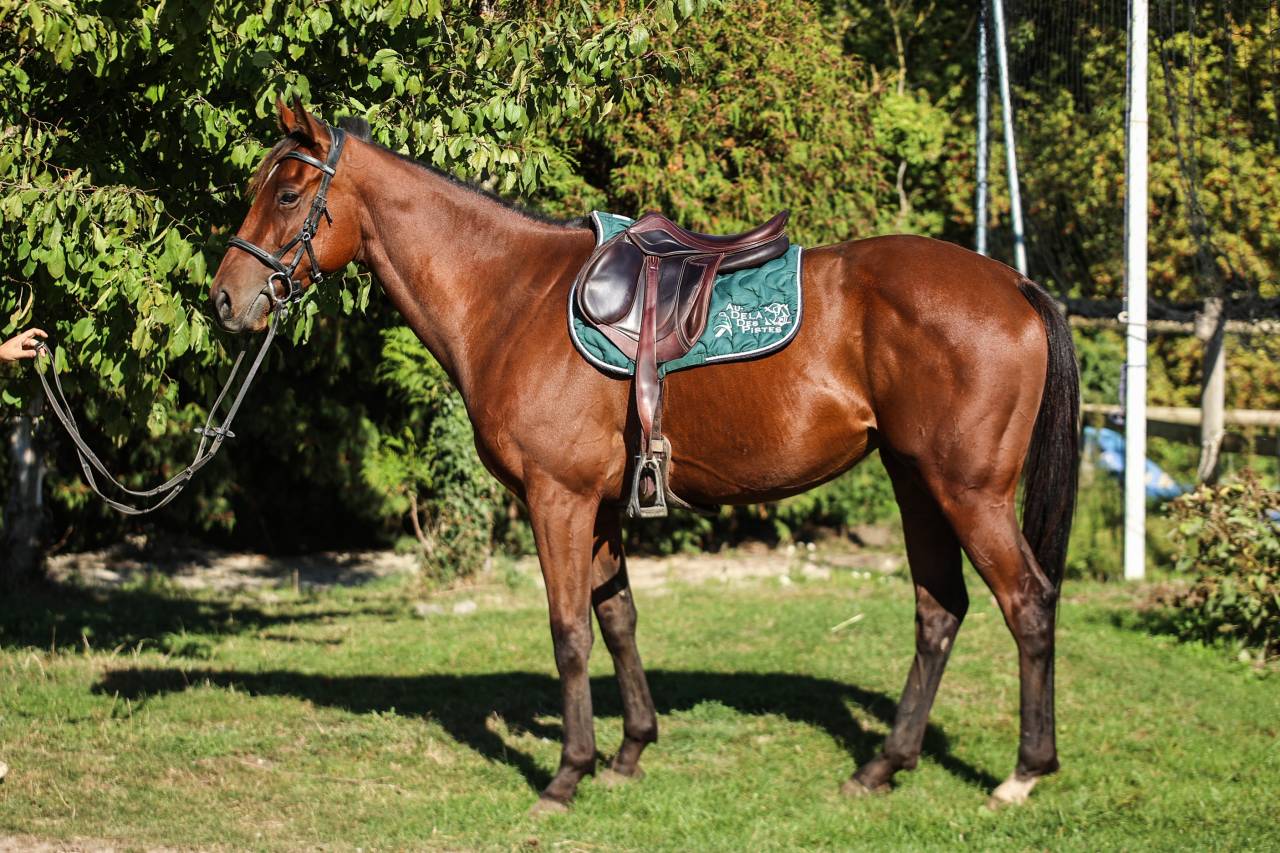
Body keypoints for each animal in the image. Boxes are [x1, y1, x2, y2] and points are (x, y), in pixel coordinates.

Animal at [211, 100, 1080, 813]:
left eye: (287, 194)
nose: (224, 299)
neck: (512, 297)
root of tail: (1015, 286)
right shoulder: (597, 506)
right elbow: (619, 616)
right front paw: (629, 750)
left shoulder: (556, 499)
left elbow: (569, 629)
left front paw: (567, 774)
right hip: (916, 483)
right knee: (940, 610)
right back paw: (882, 766)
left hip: (968, 490)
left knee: (1028, 602)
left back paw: (1023, 772)